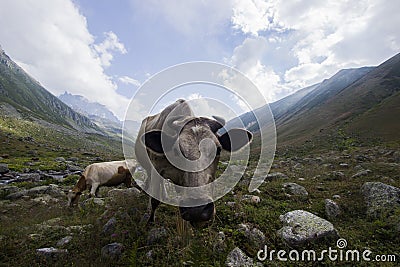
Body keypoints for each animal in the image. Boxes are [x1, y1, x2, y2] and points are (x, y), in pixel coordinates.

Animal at [136, 99, 252, 229]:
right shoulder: (157, 169)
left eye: (218, 150)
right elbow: (155, 200)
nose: (197, 209)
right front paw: (150, 222)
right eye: (176, 150)